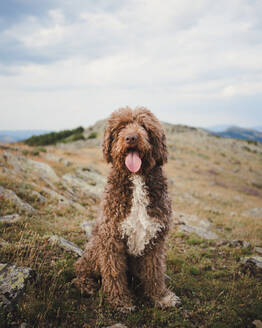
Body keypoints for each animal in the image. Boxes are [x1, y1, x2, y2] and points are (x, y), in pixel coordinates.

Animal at [73, 106, 180, 312]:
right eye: (121, 126)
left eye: (144, 126)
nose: (131, 138)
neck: (136, 179)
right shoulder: (111, 238)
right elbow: (114, 272)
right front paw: (120, 301)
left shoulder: (155, 239)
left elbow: (154, 271)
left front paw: (161, 297)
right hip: (94, 247)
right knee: (80, 269)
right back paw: (86, 285)